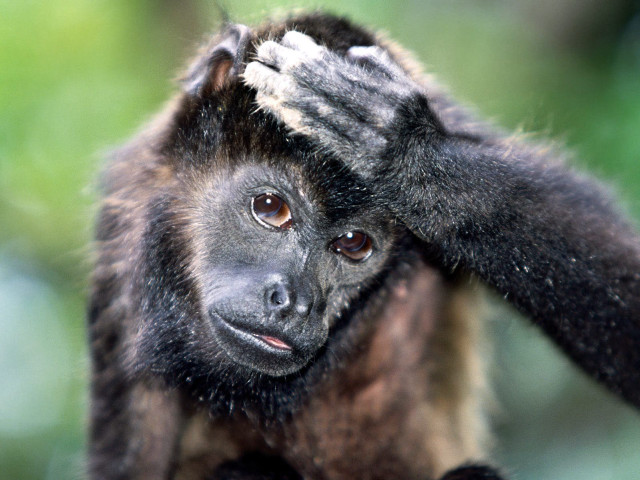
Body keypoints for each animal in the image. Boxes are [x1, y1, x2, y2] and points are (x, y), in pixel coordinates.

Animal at [89, 12, 640, 480]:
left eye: (354, 244)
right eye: (269, 207)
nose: (296, 303)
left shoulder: (460, 127)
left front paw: (400, 150)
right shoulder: (121, 241)